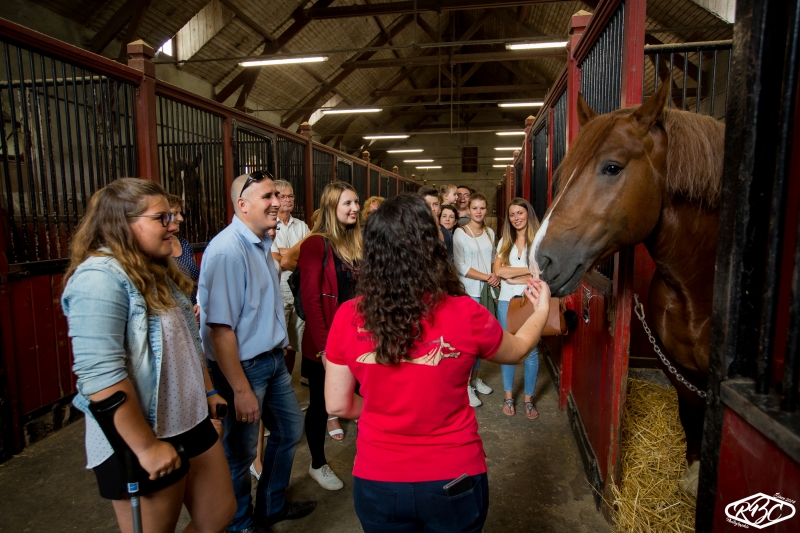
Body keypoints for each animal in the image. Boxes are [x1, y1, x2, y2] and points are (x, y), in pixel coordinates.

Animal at [532, 82, 724, 494]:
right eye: (564, 173)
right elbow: (690, 416)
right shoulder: (677, 366)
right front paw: (692, 476)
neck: (701, 282)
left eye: (612, 167)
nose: (540, 261)